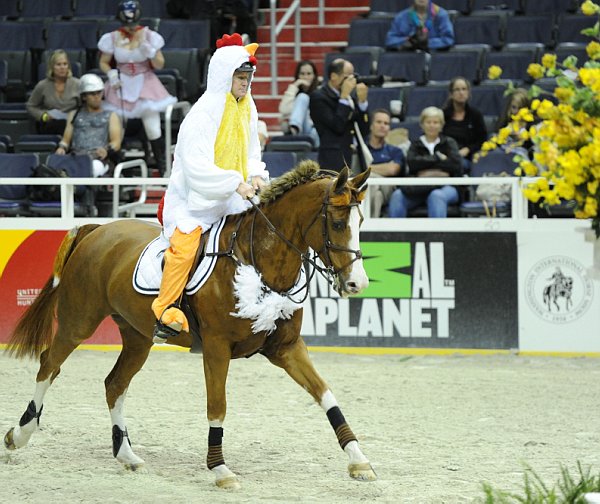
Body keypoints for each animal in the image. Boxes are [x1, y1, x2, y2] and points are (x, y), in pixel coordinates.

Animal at [3, 162, 376, 488]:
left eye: (360, 221)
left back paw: (126, 454)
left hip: (138, 337)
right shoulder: (216, 348)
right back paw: (19, 434)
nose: (356, 283)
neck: (258, 261)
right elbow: (217, 406)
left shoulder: (286, 348)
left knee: (114, 384)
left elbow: (326, 395)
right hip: (78, 321)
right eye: (338, 223)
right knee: (49, 365)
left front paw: (358, 460)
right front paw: (220, 469)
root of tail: (98, 230)